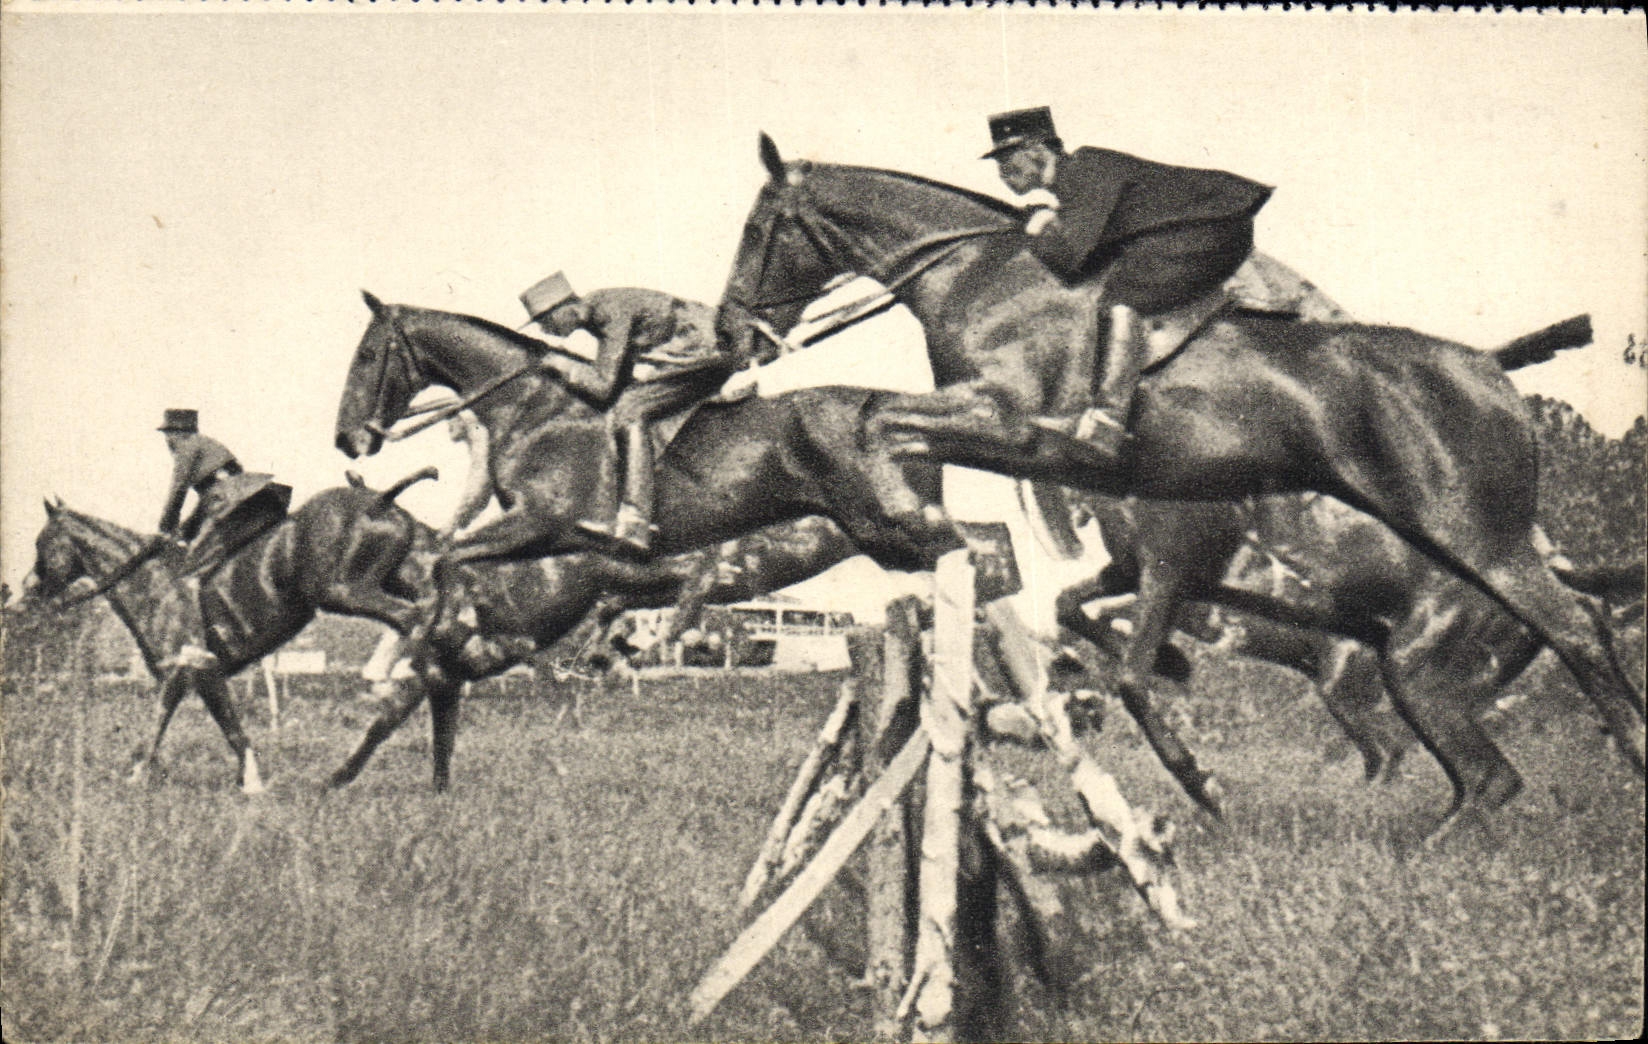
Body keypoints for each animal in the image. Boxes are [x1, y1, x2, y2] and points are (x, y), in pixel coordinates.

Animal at [23, 474, 436, 793]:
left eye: (41, 543)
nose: (29, 591)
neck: (149, 580)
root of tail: (380, 502)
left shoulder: (186, 665)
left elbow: (165, 720)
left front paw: (137, 777)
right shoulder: (201, 672)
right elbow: (224, 725)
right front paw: (248, 781)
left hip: (343, 592)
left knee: (415, 623)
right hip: (395, 581)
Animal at [719, 135, 1644, 783]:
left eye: (758, 230)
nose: (732, 333)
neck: (980, 277)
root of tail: (1487, 369)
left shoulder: (1011, 424)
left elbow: (883, 424)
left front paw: (913, 530)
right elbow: (891, 432)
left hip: (1471, 530)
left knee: (1574, 624)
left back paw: (1625, 750)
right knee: (1567, 625)